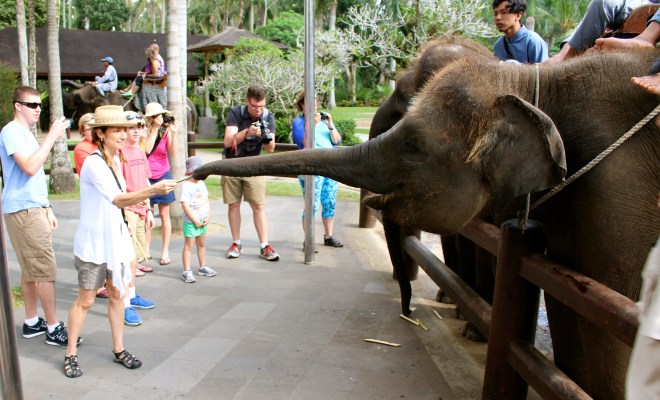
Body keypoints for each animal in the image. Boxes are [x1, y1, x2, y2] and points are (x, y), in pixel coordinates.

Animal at [194, 48, 660, 398]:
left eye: (413, 145)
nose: (196, 174)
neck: (536, 81)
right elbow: (569, 308)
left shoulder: (617, 190)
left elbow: (611, 321)